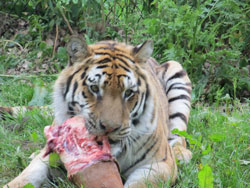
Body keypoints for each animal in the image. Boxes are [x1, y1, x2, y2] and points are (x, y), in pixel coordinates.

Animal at [3, 36, 191, 187]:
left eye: (128, 92)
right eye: (94, 88)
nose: (110, 127)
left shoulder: (160, 164)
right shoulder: (49, 159)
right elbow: (25, 177)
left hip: (177, 72)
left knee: (179, 137)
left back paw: (182, 154)